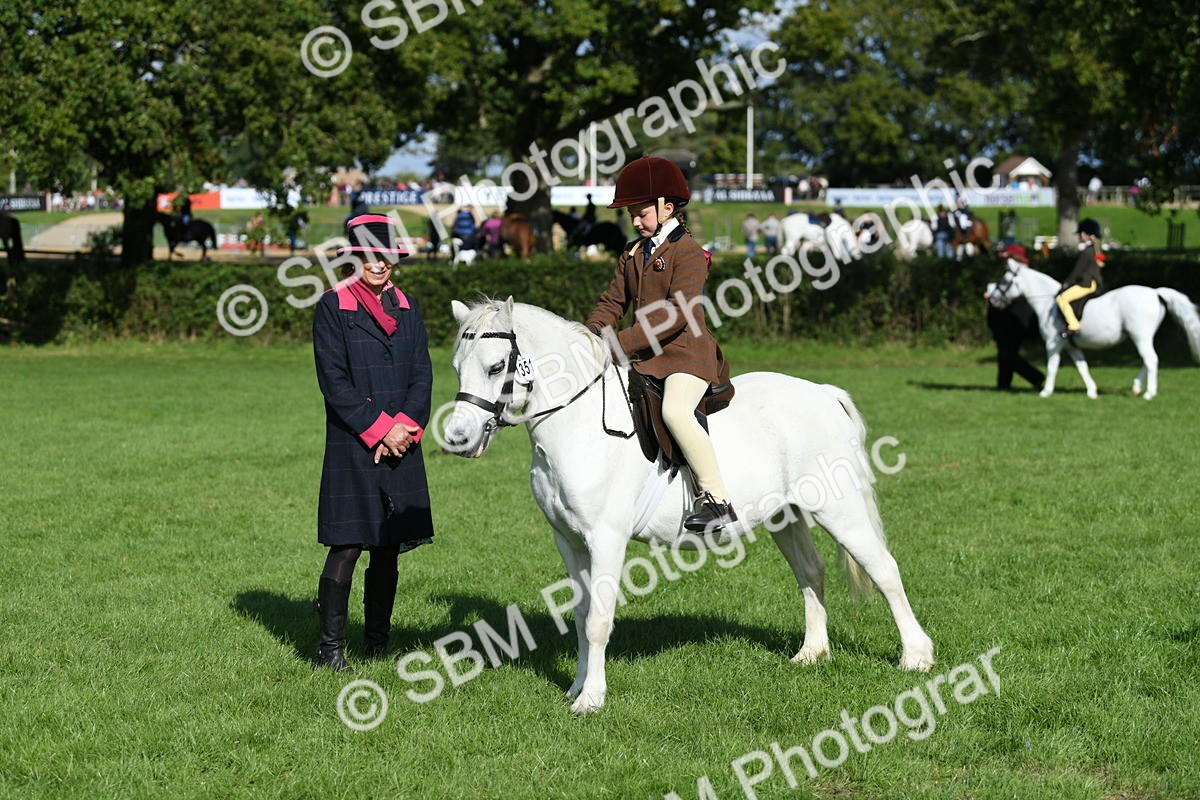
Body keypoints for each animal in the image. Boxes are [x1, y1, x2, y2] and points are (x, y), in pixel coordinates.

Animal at [444, 298, 935, 714]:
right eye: (456, 367)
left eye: (496, 367)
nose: (458, 438)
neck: (576, 423)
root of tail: (823, 393)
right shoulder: (569, 540)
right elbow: (582, 616)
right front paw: (577, 687)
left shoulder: (606, 538)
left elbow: (599, 619)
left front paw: (592, 700)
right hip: (785, 514)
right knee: (811, 571)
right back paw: (812, 653)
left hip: (838, 507)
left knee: (883, 569)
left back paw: (916, 657)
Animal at [987, 260, 1200, 399]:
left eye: (1004, 281)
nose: (993, 299)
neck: (1048, 303)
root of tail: (1155, 292)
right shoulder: (1071, 346)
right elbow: (1082, 367)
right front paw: (1092, 391)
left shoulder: (1053, 344)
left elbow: (1052, 367)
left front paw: (1046, 391)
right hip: (1142, 337)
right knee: (1148, 361)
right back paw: (1137, 388)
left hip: (1140, 336)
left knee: (1151, 360)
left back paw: (1149, 393)